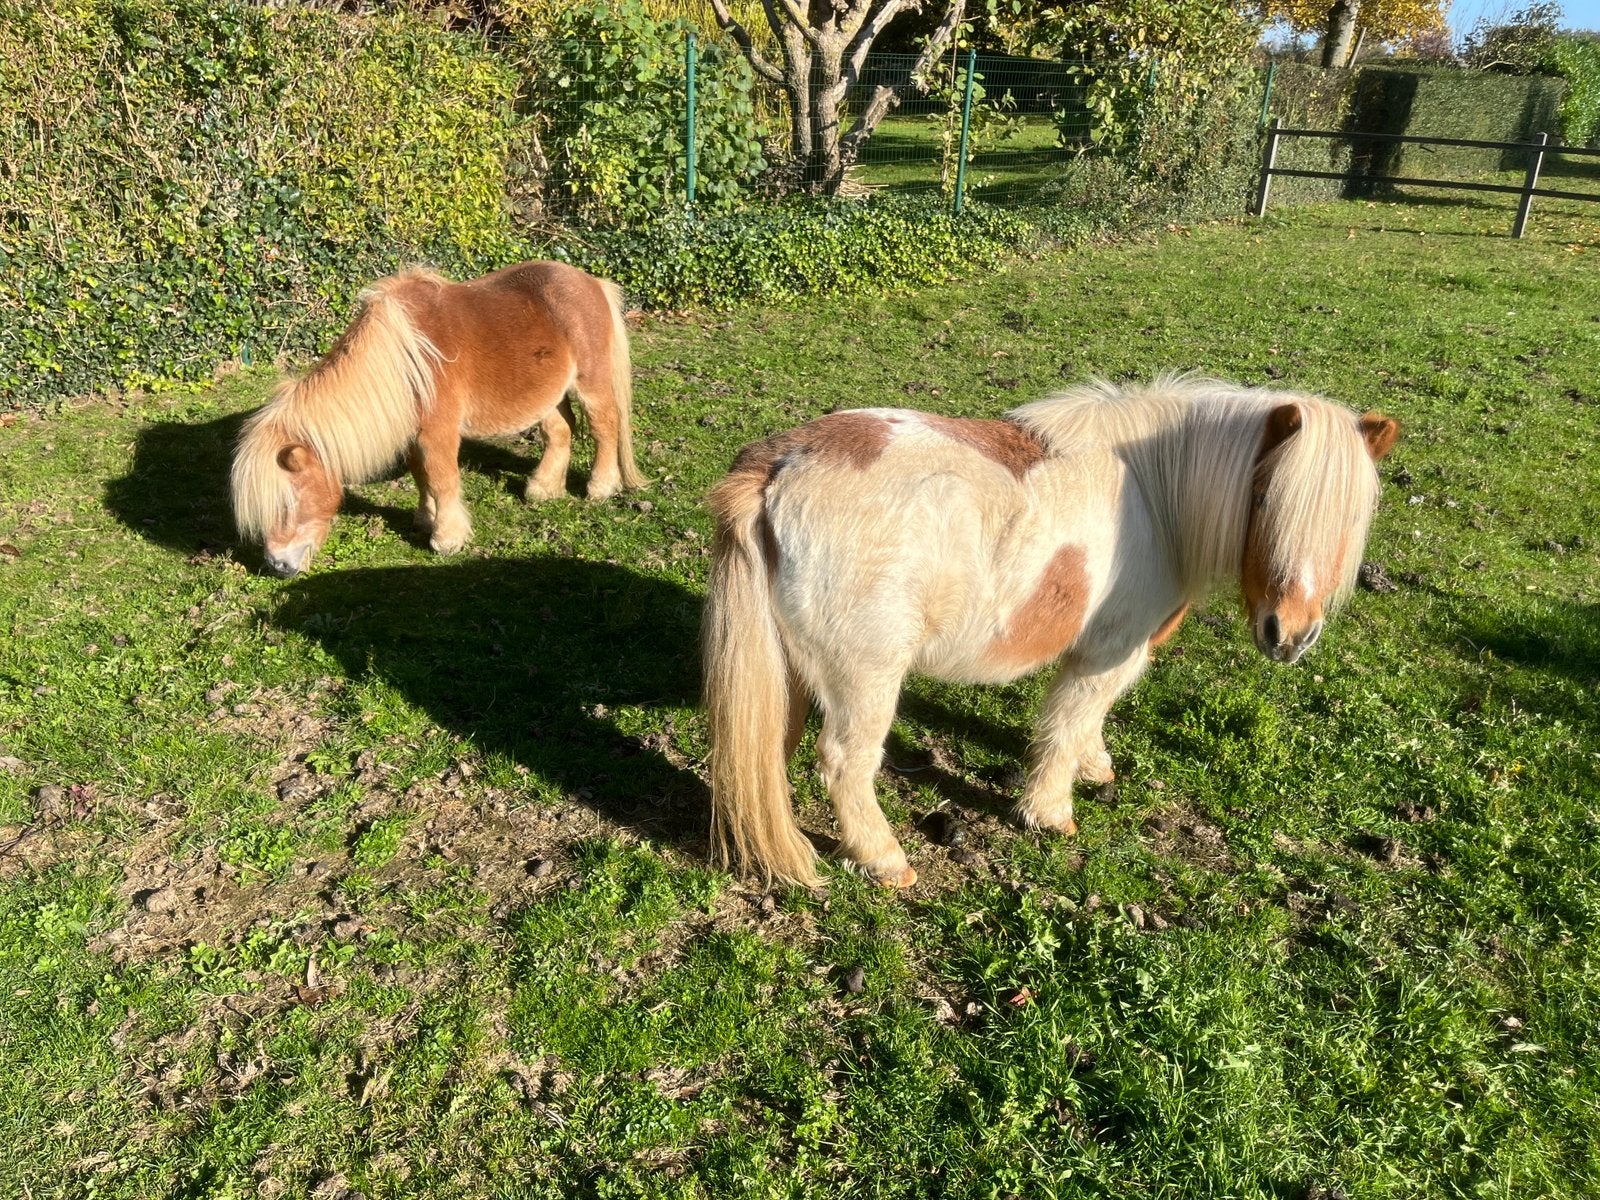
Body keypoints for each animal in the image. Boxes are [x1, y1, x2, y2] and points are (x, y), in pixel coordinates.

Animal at [231, 260, 644, 577]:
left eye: (287, 504)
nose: (277, 564)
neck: (406, 359)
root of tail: (592, 282)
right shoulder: (415, 434)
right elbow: (421, 475)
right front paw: (425, 519)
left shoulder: (438, 433)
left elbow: (443, 479)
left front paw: (447, 538)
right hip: (549, 394)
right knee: (561, 431)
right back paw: (543, 489)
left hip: (591, 383)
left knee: (604, 426)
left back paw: (601, 488)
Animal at [703, 375, 1399, 889]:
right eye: (1262, 501)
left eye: (1352, 518)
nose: (1290, 635)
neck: (1156, 496)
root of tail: (775, 467)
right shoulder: (1108, 653)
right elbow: (1068, 723)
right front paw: (1051, 812)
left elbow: (1088, 722)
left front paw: (1096, 768)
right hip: (866, 677)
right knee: (847, 764)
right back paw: (885, 860)